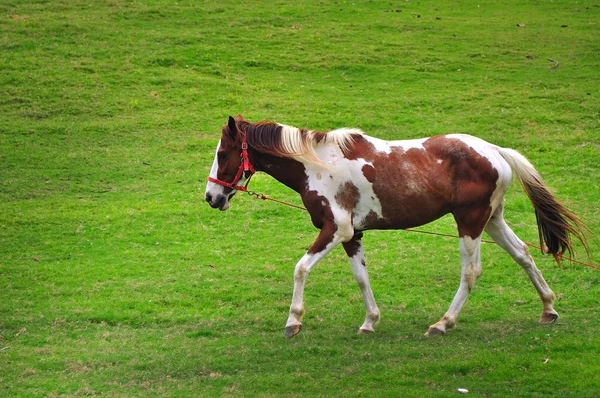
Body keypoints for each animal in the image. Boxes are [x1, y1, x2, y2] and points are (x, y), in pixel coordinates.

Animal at [204, 114, 588, 336]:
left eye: (223, 154)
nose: (211, 197)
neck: (318, 165)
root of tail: (495, 150)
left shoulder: (335, 230)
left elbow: (300, 268)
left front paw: (293, 321)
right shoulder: (352, 235)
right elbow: (361, 278)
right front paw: (370, 321)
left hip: (469, 222)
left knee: (471, 271)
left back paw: (443, 324)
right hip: (491, 220)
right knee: (523, 254)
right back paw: (548, 308)